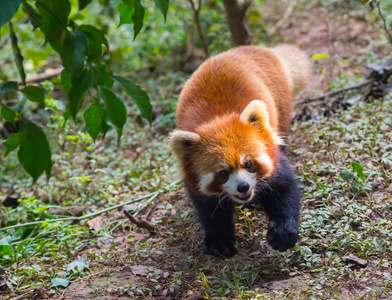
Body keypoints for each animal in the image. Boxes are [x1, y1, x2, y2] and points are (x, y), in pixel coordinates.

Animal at [170, 44, 310, 258]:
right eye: (222, 173)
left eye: (248, 163)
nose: (243, 187)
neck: (216, 120)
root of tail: (257, 49)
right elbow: (209, 209)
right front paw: (220, 241)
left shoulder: (270, 152)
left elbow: (284, 188)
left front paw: (283, 233)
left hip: (281, 104)